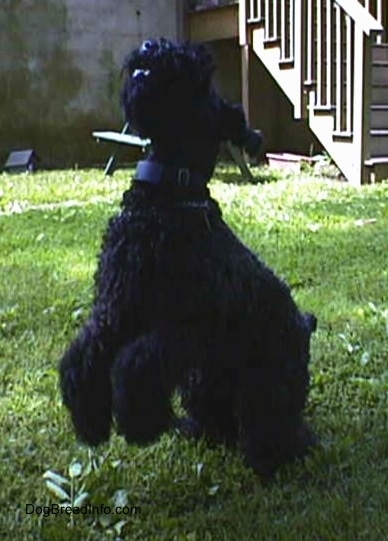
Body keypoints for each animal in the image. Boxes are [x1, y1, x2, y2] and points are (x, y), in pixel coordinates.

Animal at [58, 37, 318, 476]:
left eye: (202, 80)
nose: (152, 46)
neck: (170, 198)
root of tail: (304, 325)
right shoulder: (115, 310)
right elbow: (83, 355)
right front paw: (90, 421)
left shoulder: (184, 329)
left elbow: (136, 362)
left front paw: (139, 422)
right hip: (206, 381)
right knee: (219, 418)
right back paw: (196, 429)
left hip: (265, 386)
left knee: (273, 426)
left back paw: (282, 454)